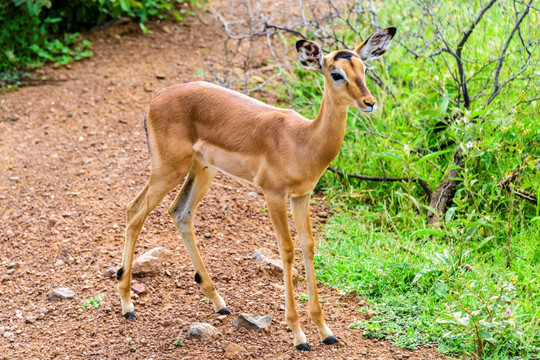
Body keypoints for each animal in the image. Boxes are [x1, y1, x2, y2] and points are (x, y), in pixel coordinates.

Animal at [117, 28, 396, 352]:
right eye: (336, 73)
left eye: (363, 68)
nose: (369, 102)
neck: (304, 140)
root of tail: (154, 101)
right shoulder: (273, 194)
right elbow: (286, 250)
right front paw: (299, 335)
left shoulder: (302, 196)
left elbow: (308, 246)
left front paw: (325, 331)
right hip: (167, 170)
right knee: (134, 210)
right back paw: (128, 306)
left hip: (203, 170)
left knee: (180, 212)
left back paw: (220, 303)